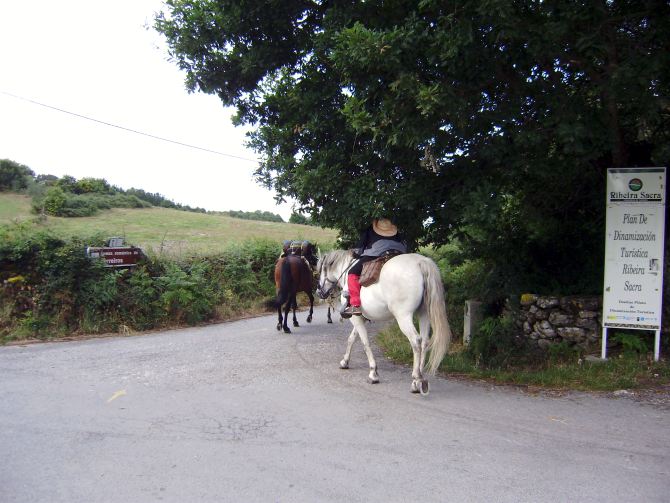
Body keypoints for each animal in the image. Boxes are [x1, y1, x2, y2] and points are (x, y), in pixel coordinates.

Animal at [318, 250, 454, 396]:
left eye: (320, 269)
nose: (319, 292)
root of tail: (420, 262)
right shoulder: (361, 318)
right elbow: (351, 339)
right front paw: (345, 362)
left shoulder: (355, 318)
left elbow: (365, 343)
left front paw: (373, 373)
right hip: (424, 314)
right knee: (424, 342)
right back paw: (421, 377)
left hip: (403, 317)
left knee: (416, 341)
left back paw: (416, 380)